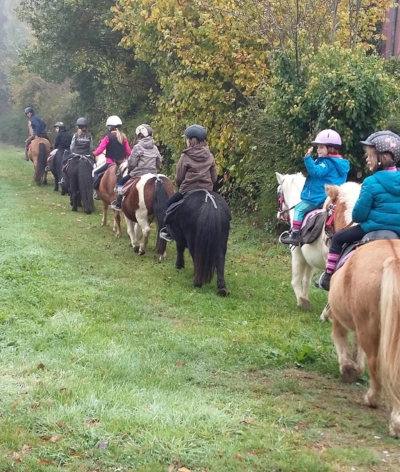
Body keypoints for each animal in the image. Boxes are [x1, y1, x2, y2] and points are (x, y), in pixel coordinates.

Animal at [276, 171, 360, 312]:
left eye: (278, 193)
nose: (279, 214)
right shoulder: (310, 259)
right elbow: (306, 280)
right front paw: (305, 298)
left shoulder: (298, 255)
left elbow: (296, 279)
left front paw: (302, 300)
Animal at [324, 183, 400, 438]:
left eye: (327, 208)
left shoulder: (341, 320)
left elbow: (342, 341)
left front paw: (348, 368)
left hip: (369, 326)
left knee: (377, 363)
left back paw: (375, 401)